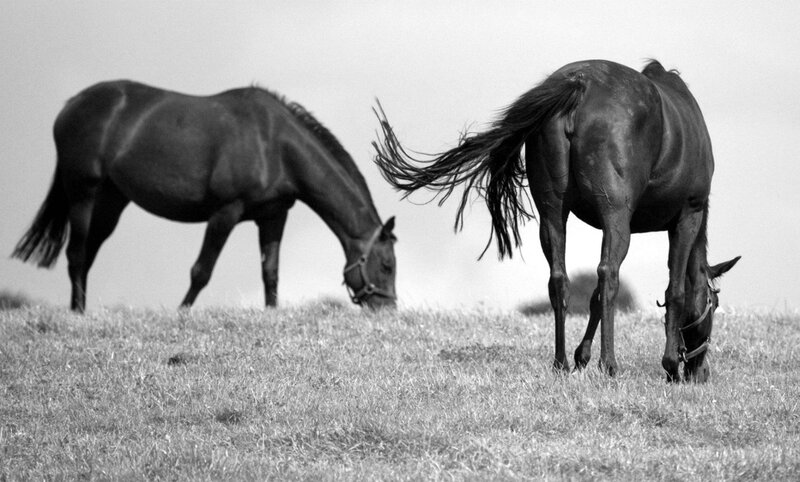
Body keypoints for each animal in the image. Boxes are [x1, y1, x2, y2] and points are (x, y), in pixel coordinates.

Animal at [13, 81, 397, 312]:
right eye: (387, 265)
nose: (388, 310)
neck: (275, 145)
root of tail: (70, 106)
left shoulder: (273, 216)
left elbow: (270, 272)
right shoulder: (225, 213)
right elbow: (201, 271)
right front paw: (182, 313)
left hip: (111, 201)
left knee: (88, 254)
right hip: (83, 192)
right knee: (76, 254)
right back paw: (76, 314)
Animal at [373, 59, 739, 382]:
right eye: (714, 304)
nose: (700, 372)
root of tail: (579, 85)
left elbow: (591, 296)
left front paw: (581, 357)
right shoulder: (687, 216)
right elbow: (674, 289)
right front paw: (669, 365)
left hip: (552, 211)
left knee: (559, 278)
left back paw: (561, 362)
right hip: (615, 213)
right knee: (608, 274)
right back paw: (609, 365)